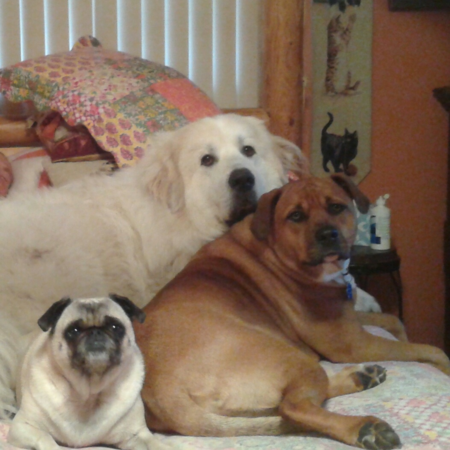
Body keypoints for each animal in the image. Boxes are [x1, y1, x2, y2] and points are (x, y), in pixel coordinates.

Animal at [136, 174, 450, 448]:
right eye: (296, 216)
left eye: (336, 207)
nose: (327, 235)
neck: (278, 251)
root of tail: (158, 387)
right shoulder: (353, 343)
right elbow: (430, 349)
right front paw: (444, 365)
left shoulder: (350, 322)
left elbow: (393, 320)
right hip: (292, 358)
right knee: (295, 406)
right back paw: (363, 427)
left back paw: (360, 377)